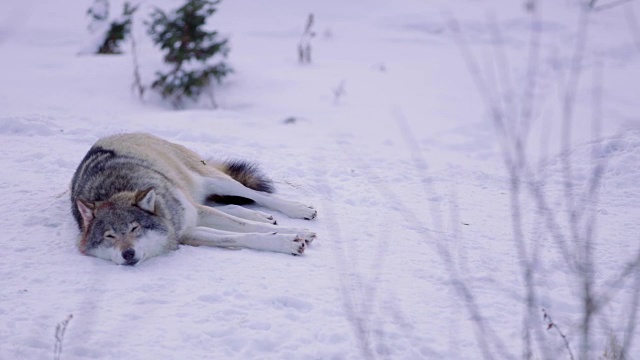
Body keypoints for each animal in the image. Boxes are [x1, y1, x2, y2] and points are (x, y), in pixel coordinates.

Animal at [70, 132, 318, 264]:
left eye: (134, 228)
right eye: (109, 236)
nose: (127, 254)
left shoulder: (190, 218)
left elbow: (245, 226)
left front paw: (298, 232)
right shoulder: (187, 232)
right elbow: (242, 235)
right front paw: (286, 240)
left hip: (213, 180)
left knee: (255, 194)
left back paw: (299, 210)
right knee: (229, 206)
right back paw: (265, 217)